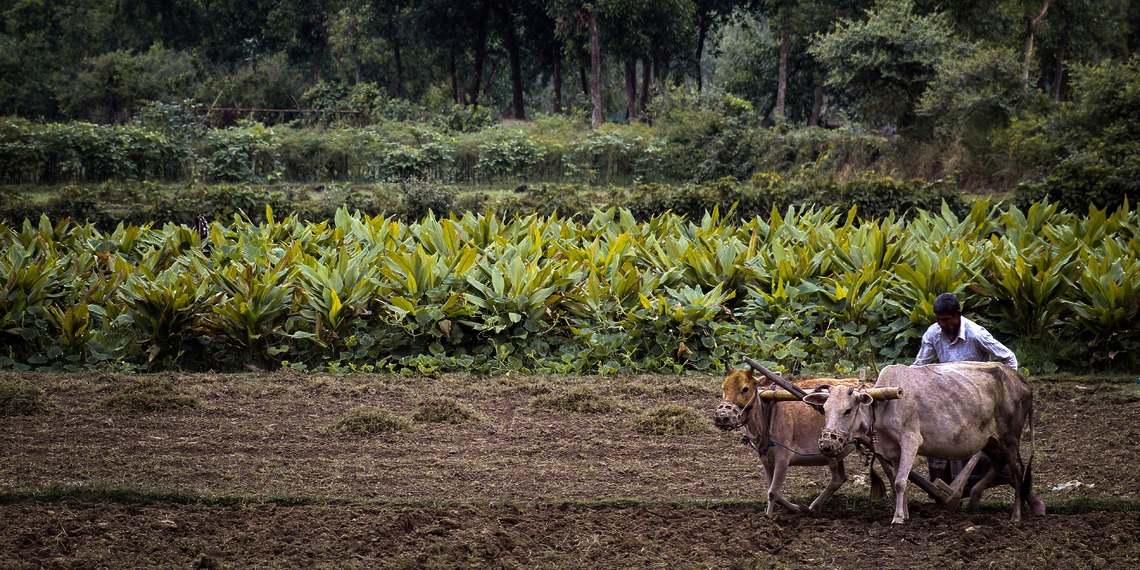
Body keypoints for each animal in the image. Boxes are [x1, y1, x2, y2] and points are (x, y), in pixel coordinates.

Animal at [714, 368, 862, 516]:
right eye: (723, 387)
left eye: (745, 389)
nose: (722, 417)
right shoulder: (765, 459)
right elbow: (774, 491)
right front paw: (795, 508)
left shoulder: (783, 458)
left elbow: (773, 492)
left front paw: (768, 517)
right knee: (838, 478)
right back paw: (813, 507)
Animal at [802, 361, 1041, 524]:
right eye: (825, 409)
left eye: (848, 410)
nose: (827, 445)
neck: (883, 405)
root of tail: (1021, 380)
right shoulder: (894, 451)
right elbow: (899, 482)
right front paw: (905, 514)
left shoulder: (911, 441)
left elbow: (900, 482)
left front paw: (898, 518)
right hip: (990, 441)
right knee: (999, 462)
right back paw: (973, 498)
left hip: (1009, 438)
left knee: (1017, 471)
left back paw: (1016, 515)